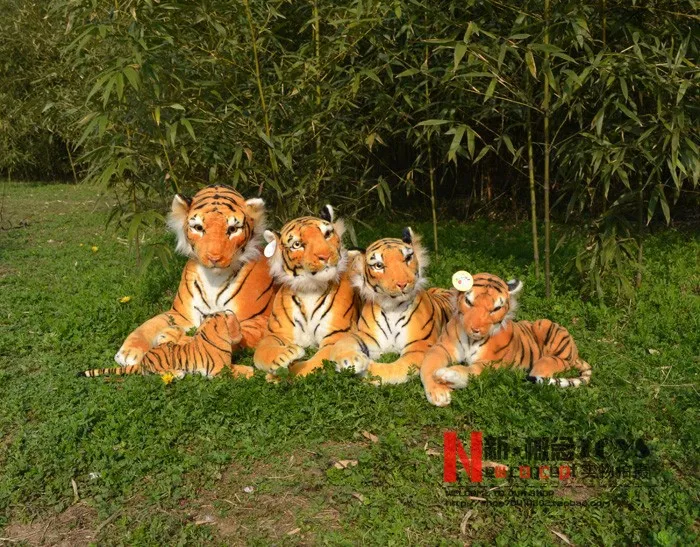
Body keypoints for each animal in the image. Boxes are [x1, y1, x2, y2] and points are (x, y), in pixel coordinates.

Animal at [115, 184, 275, 379]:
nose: (214, 258)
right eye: (198, 227)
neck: (214, 278)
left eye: (232, 229)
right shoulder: (180, 314)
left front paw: (176, 340)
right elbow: (149, 324)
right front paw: (128, 352)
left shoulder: (260, 319)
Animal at [253, 205, 359, 377]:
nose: (325, 255)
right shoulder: (276, 334)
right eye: (297, 244)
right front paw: (283, 356)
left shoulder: (337, 335)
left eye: (327, 234)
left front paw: (282, 374)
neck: (310, 289)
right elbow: (261, 351)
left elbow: (310, 366)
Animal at [330, 228, 455, 384]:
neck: (392, 307)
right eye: (379, 265)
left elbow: (391, 370)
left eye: (408, 258)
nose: (402, 283)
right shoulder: (368, 336)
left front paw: (366, 369)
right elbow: (344, 340)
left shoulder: (419, 346)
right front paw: (350, 360)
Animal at [420, 272, 592, 406]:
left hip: (545, 328)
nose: (475, 329)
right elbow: (428, 364)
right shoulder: (442, 347)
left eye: (496, 308)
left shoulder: (492, 364)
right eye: (469, 302)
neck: (471, 340)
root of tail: (576, 353)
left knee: (556, 364)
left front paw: (447, 375)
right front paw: (439, 393)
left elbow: (469, 370)